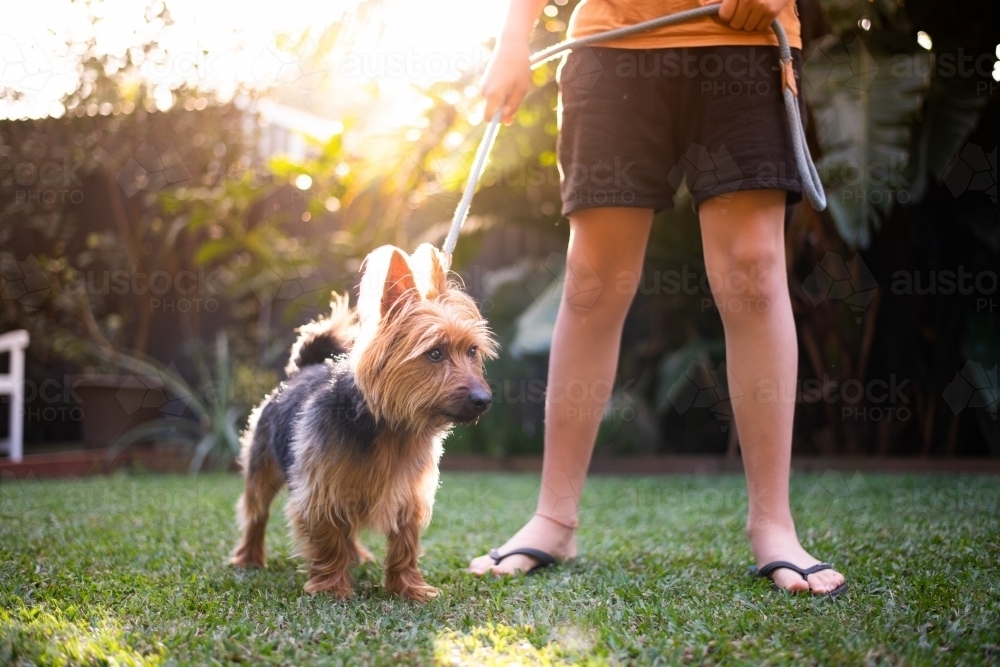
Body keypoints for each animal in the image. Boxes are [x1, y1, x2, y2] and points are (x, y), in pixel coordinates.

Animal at [234, 244, 500, 600]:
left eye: (471, 351)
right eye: (435, 353)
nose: (483, 400)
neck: (391, 426)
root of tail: (304, 369)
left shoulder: (408, 494)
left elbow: (405, 543)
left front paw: (408, 588)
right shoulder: (322, 488)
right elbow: (328, 539)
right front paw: (332, 588)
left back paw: (356, 555)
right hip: (262, 464)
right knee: (256, 513)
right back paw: (249, 558)